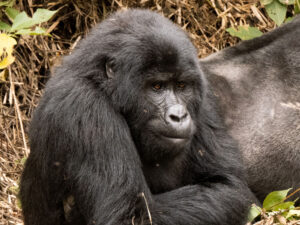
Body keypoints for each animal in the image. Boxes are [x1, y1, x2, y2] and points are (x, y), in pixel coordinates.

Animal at [19, 8, 255, 225]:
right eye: (157, 87)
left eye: (181, 86)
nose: (179, 116)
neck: (101, 83)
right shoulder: (84, 107)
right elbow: (130, 216)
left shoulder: (202, 94)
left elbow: (227, 186)